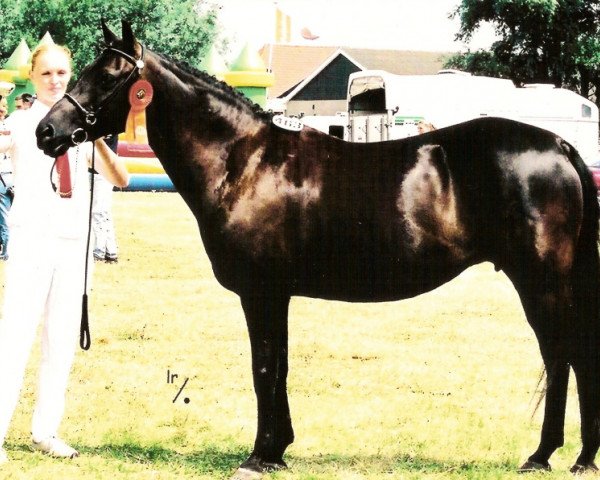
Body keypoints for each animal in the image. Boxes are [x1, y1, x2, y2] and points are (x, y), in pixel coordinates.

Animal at [36, 21, 600, 476]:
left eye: (109, 75)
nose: (47, 131)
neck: (243, 162)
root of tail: (559, 146)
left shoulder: (262, 293)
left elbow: (264, 369)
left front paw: (260, 456)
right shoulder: (278, 295)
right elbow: (279, 366)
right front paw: (279, 449)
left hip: (541, 282)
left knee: (563, 355)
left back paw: (547, 455)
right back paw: (576, 456)